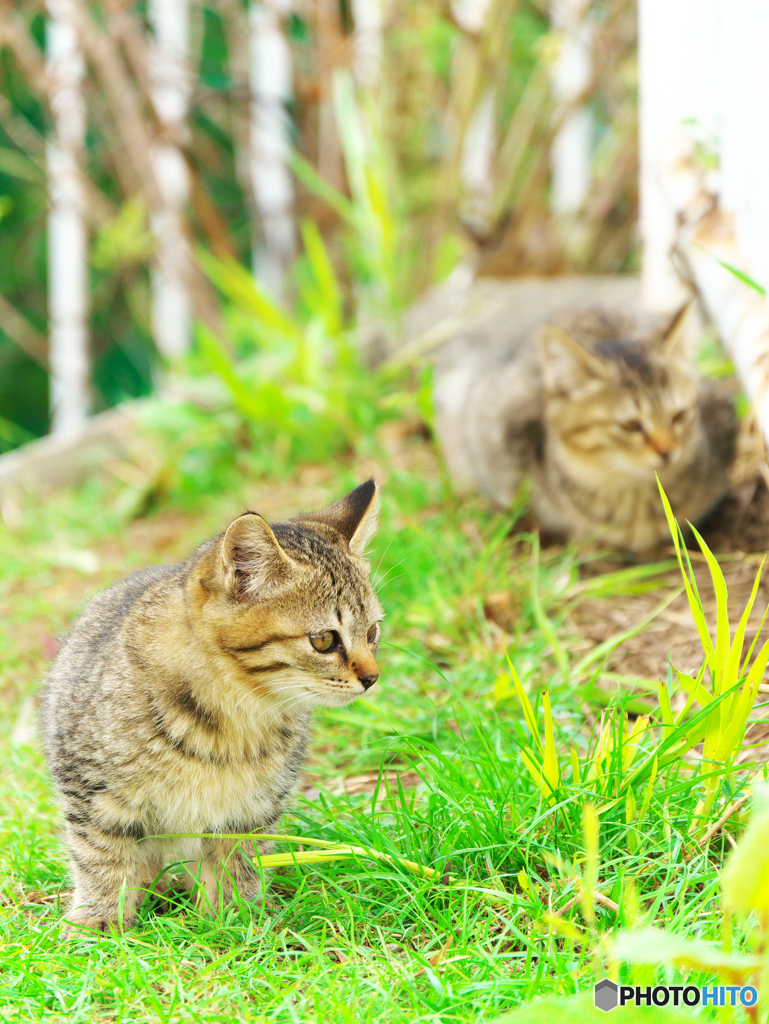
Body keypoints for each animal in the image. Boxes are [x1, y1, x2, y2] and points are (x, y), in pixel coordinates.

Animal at [39, 479, 382, 937]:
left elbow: (237, 862)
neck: (236, 714)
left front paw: (236, 918)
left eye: (373, 632)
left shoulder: (252, 807)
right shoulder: (91, 789)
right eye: (324, 640)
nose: (372, 677)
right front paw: (99, 921)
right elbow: (101, 856)